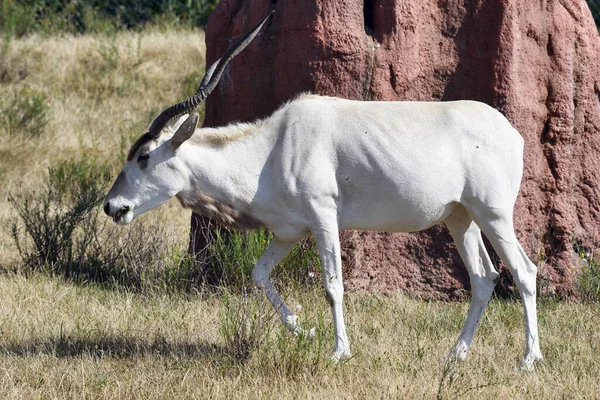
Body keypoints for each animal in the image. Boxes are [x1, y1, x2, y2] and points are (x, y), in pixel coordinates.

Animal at [103, 11, 544, 368]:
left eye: (144, 156)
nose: (111, 206)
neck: (273, 148)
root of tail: (512, 133)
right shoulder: (289, 232)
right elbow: (259, 273)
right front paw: (304, 330)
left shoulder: (323, 219)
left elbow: (333, 286)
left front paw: (339, 351)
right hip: (460, 217)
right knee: (483, 277)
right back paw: (455, 354)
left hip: (493, 214)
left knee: (523, 270)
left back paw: (529, 359)